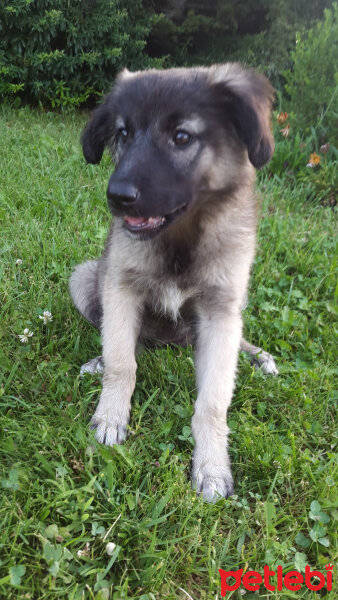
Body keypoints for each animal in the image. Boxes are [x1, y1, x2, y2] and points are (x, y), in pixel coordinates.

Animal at [69, 62, 278, 502]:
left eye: (182, 137)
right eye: (123, 134)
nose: (117, 196)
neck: (181, 237)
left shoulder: (220, 311)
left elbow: (213, 401)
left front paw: (212, 466)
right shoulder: (120, 287)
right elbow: (123, 363)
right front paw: (110, 415)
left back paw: (258, 356)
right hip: (84, 278)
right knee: (128, 344)